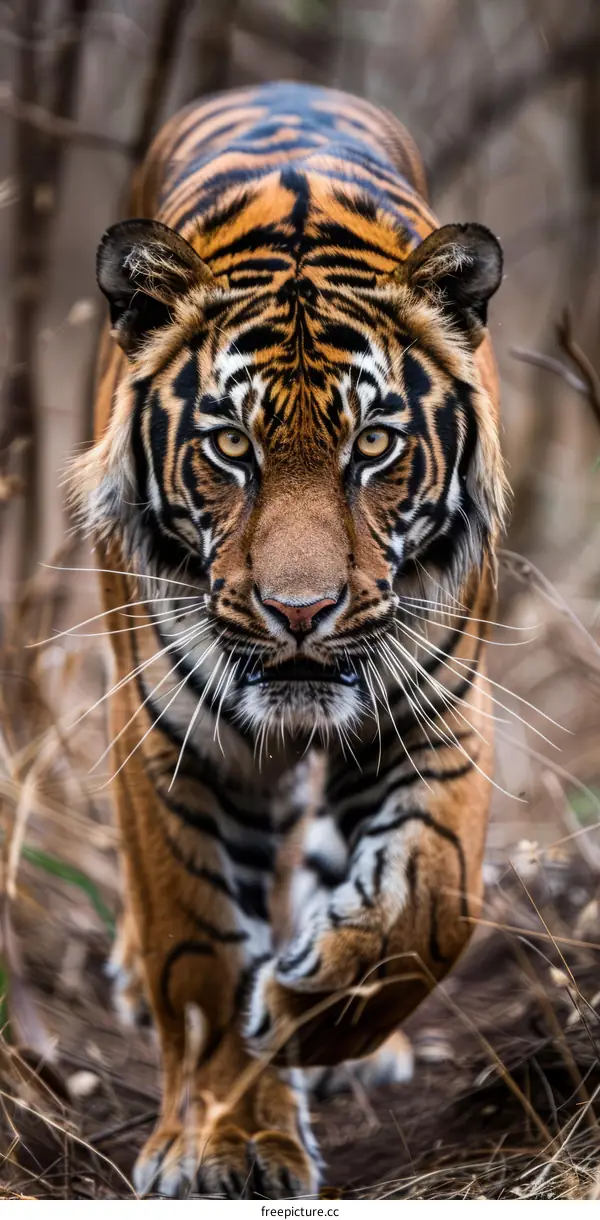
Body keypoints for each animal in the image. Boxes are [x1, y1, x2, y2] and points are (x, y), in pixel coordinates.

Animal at [70, 81, 507, 1198]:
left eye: (375, 446)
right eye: (231, 446)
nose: (300, 613)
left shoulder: (439, 709)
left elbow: (433, 905)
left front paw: (313, 1012)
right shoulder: (169, 737)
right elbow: (197, 949)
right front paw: (223, 1142)